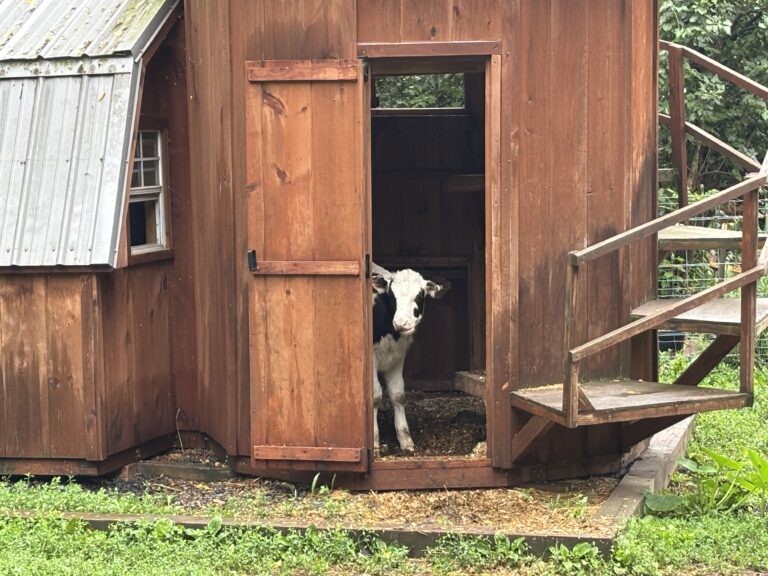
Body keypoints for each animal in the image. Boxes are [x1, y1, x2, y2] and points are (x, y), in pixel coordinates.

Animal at [371, 263, 450, 456]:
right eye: (391, 296)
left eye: (420, 295)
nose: (401, 323)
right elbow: (375, 395)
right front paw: (374, 442)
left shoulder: (397, 357)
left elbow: (398, 394)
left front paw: (405, 440)